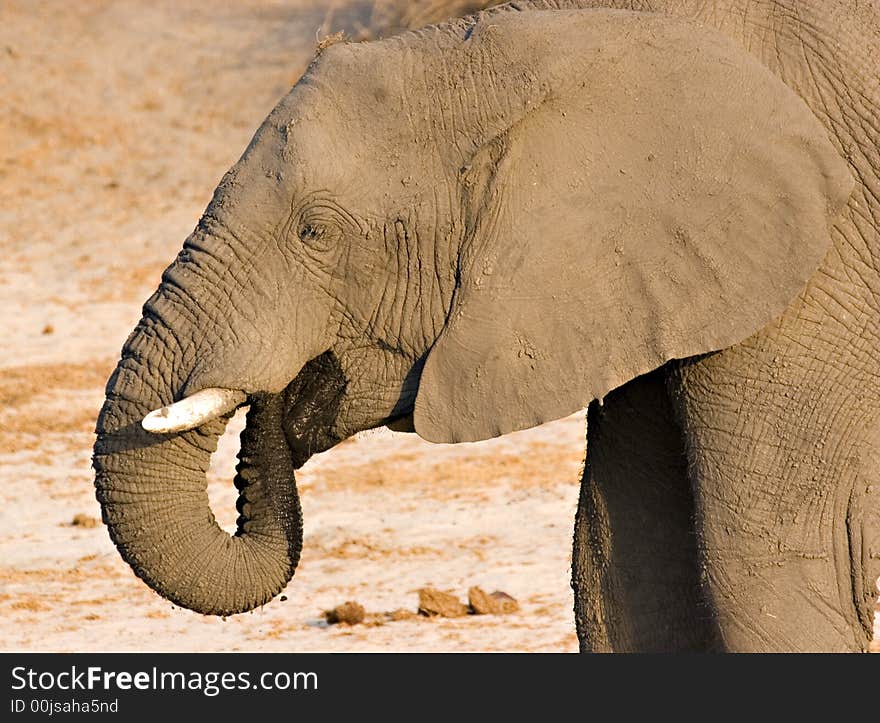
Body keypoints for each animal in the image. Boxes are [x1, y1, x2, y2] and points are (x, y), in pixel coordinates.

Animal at [93, 0, 876, 652]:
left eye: (315, 231)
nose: (282, 403)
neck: (574, 32)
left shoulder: (814, 272)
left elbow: (763, 572)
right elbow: (621, 572)